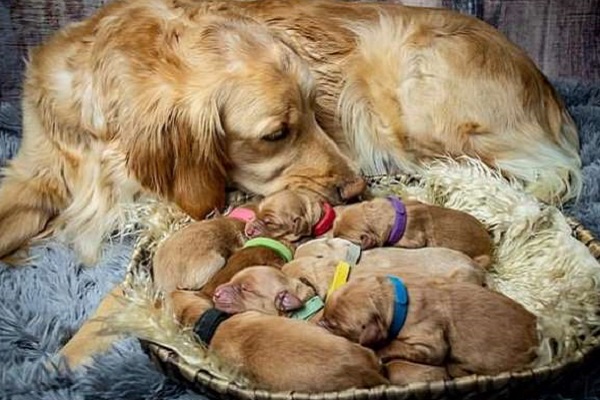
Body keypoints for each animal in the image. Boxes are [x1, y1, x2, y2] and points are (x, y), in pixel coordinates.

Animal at [322, 276, 540, 384]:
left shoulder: (430, 345)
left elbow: (393, 345)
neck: (399, 302)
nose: (321, 323)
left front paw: (379, 351)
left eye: (335, 325)